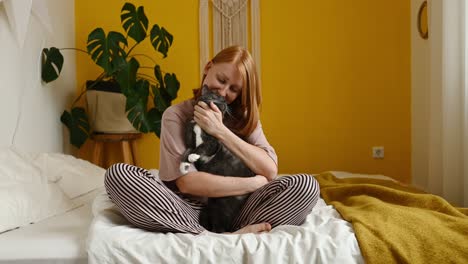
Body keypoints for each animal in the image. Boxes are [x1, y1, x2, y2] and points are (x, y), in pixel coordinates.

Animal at [181, 85, 256, 232]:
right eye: (215, 96)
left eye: (225, 101)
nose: (224, 103)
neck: (199, 124)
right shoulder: (189, 138)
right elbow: (187, 150)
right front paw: (183, 165)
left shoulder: (214, 143)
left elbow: (202, 147)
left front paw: (193, 156)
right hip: (212, 206)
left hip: (225, 205)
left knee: (221, 228)